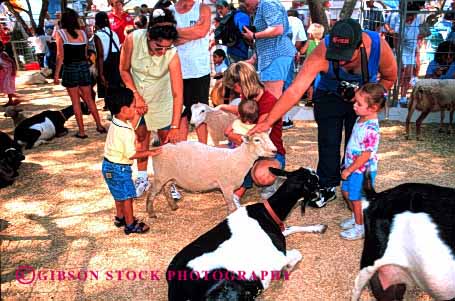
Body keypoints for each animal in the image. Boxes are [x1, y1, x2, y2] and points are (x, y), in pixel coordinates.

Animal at [146, 132, 276, 217]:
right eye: (257, 140)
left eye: (269, 137)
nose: (274, 150)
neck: (239, 158)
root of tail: (158, 148)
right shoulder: (226, 186)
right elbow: (231, 206)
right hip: (161, 175)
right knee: (152, 192)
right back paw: (151, 212)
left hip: (171, 176)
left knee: (166, 188)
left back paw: (173, 206)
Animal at [167, 166, 328, 300]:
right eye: (316, 182)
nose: (327, 193)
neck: (268, 213)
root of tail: (176, 288)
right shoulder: (277, 256)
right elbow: (297, 253)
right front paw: (287, 268)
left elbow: (291, 228)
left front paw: (318, 227)